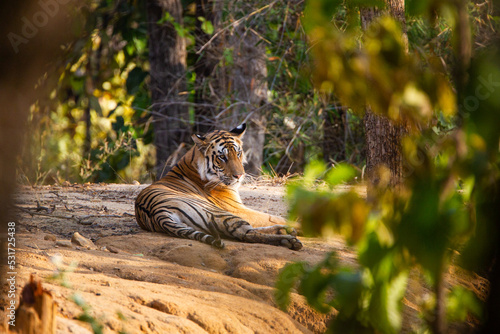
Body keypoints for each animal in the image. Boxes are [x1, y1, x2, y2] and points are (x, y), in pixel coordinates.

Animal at [133, 122, 302, 250]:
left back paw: (285, 232)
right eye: (222, 157)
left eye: (238, 153)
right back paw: (289, 238)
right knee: (245, 233)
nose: (239, 175)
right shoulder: (236, 208)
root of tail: (157, 213)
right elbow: (272, 217)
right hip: (219, 213)